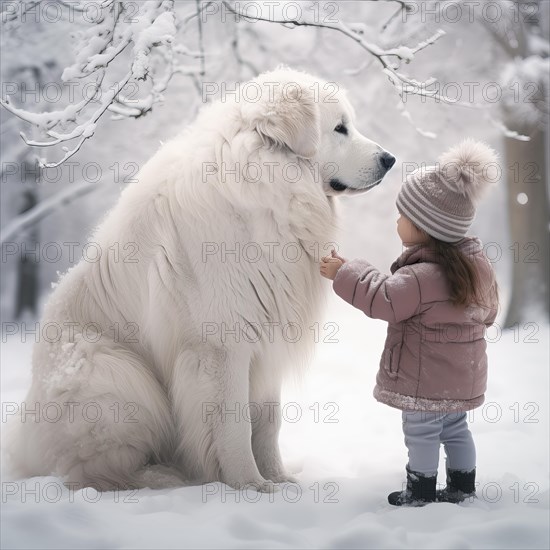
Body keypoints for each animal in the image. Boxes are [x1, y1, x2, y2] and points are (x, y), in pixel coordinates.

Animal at [8, 67, 396, 494]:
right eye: (340, 128)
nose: (390, 159)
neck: (262, 191)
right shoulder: (221, 346)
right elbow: (234, 424)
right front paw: (250, 485)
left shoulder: (267, 338)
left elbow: (267, 421)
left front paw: (278, 479)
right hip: (113, 374)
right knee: (93, 470)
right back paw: (157, 476)